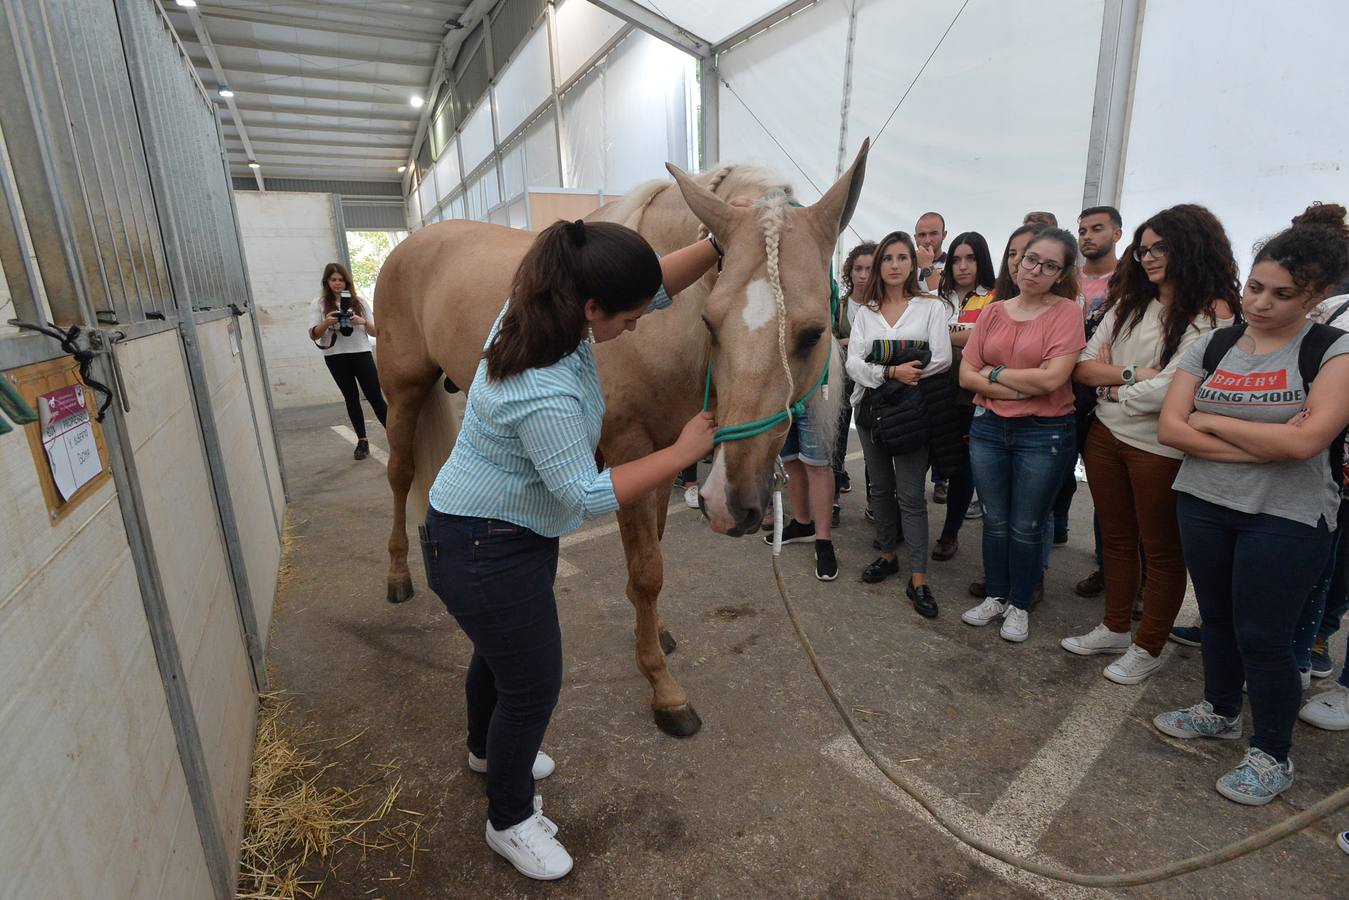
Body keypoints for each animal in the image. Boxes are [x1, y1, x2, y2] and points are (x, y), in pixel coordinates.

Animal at [375, 138, 868, 734]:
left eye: (813, 332)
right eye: (711, 322)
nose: (730, 504)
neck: (664, 326)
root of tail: (410, 245)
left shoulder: (663, 451)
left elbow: (652, 550)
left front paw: (656, 634)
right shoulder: (628, 449)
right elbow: (646, 571)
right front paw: (663, 689)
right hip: (403, 392)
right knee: (400, 476)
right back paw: (398, 576)